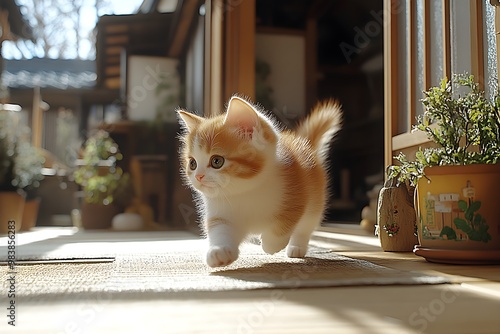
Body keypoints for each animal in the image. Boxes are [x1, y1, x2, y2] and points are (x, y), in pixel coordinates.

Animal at [178, 95, 342, 268]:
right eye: (192, 164)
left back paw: (297, 247)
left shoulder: (297, 191)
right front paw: (219, 251)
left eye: (217, 161)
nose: (198, 176)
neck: (247, 190)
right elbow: (221, 229)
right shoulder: (222, 212)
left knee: (305, 227)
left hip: (315, 202)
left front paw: (271, 244)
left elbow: (286, 220)